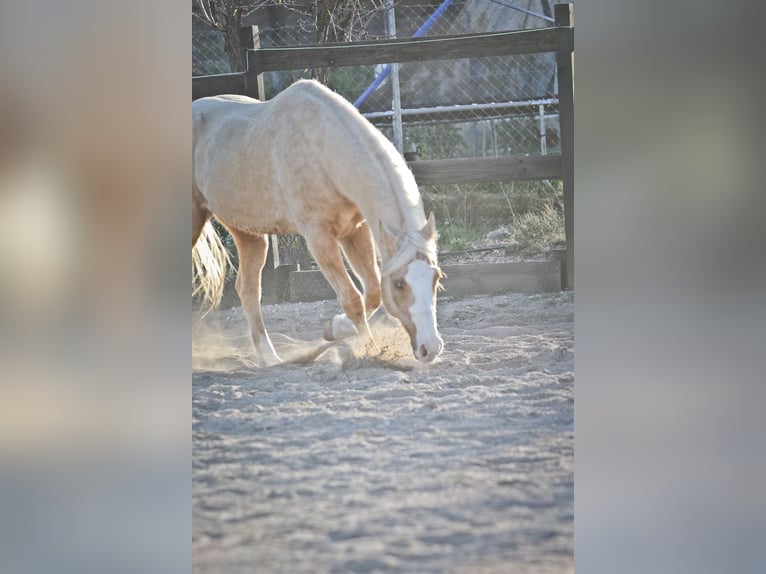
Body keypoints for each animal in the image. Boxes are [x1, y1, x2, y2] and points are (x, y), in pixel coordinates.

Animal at [192, 79, 444, 366]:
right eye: (399, 284)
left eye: (436, 277)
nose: (430, 348)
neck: (322, 149)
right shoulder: (320, 237)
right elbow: (352, 298)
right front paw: (371, 349)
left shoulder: (354, 231)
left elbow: (371, 293)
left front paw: (334, 328)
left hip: (249, 234)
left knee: (248, 291)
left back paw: (269, 357)